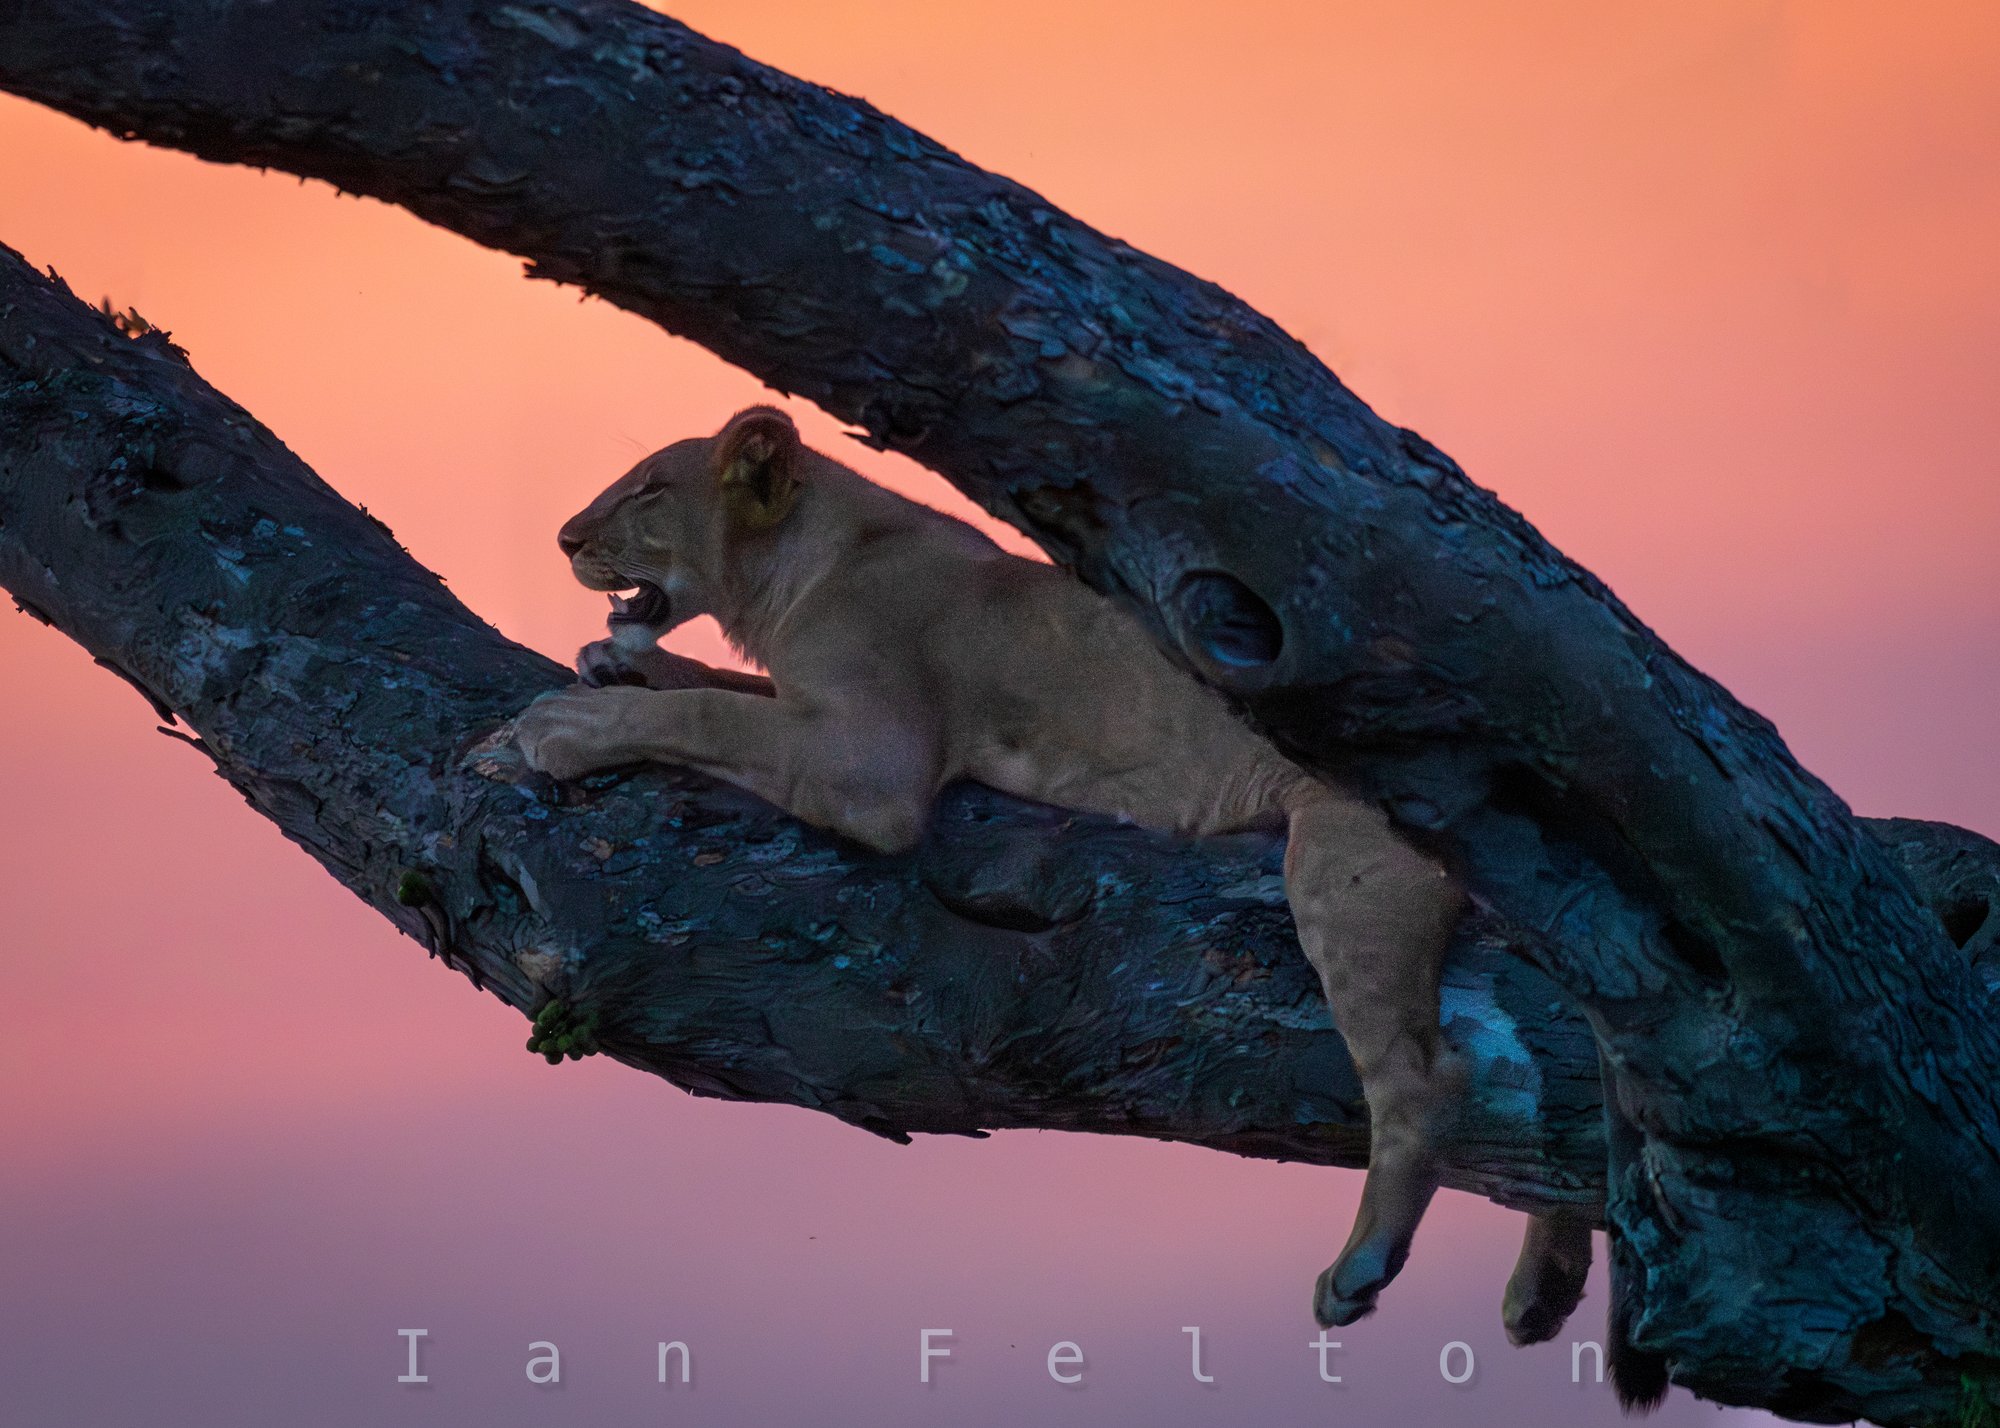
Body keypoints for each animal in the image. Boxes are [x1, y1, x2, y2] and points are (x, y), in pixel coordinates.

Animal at [514, 405, 1587, 1333]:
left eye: (651, 488)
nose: (564, 537)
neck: (803, 566)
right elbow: (722, 686)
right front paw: (613, 664)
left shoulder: (873, 764)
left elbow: (712, 713)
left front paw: (567, 726)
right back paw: (1544, 1290)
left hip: (1346, 866)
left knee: (1427, 1076)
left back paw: (1361, 1270)